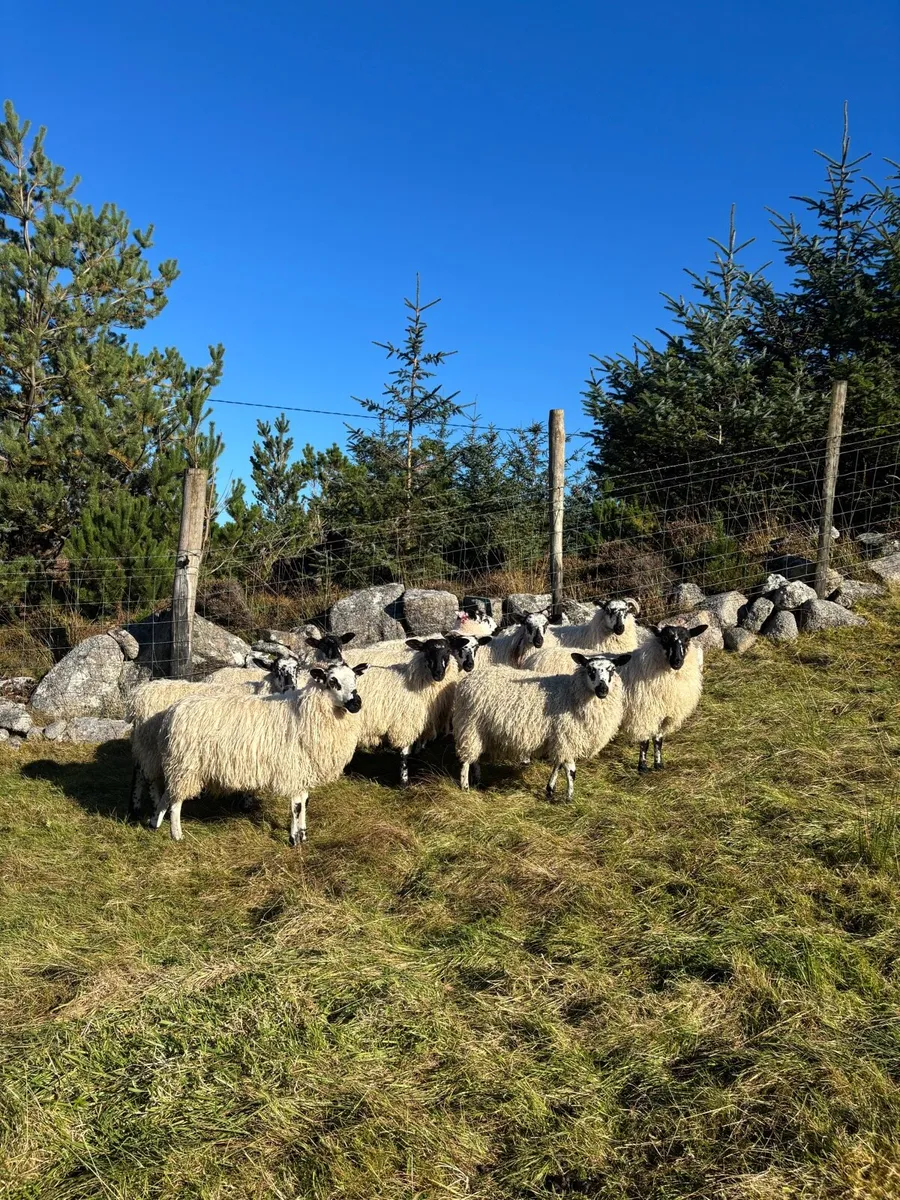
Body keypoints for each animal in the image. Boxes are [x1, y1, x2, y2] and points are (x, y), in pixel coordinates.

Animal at [153, 660, 370, 845]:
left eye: (355, 677)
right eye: (332, 681)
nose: (356, 703)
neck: (302, 712)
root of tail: (173, 711)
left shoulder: (304, 768)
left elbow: (305, 801)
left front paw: (303, 834)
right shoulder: (292, 768)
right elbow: (297, 806)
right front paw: (294, 839)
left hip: (178, 764)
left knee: (169, 794)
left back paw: (155, 822)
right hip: (185, 764)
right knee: (176, 801)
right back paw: (176, 834)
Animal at [453, 652, 632, 801]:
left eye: (612, 670)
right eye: (590, 669)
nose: (602, 690)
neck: (572, 693)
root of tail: (467, 680)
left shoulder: (559, 738)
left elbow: (558, 765)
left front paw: (550, 789)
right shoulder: (567, 736)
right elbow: (570, 770)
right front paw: (569, 798)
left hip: (478, 730)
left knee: (474, 757)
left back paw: (477, 780)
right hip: (469, 725)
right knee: (466, 759)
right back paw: (465, 786)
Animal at [618, 623, 707, 773]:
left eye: (687, 639)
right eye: (664, 639)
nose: (677, 661)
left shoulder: (664, 715)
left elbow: (658, 741)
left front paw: (658, 764)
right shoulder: (644, 714)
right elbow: (644, 742)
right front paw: (642, 767)